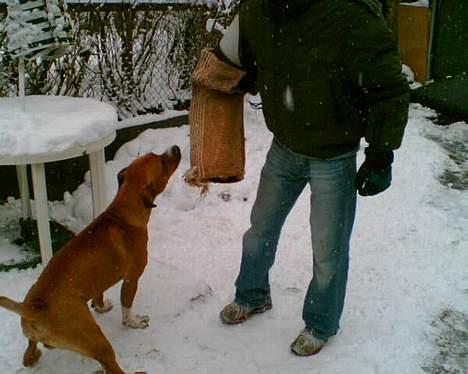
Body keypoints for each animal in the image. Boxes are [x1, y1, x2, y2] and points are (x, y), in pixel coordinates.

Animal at [0, 146, 181, 374]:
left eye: (155, 155)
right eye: (162, 163)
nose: (176, 148)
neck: (123, 211)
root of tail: (32, 308)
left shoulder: (98, 282)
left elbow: (98, 295)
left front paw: (101, 307)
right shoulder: (132, 278)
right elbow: (126, 308)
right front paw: (133, 322)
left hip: (36, 338)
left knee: (29, 351)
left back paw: (33, 356)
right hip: (97, 341)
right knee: (112, 367)